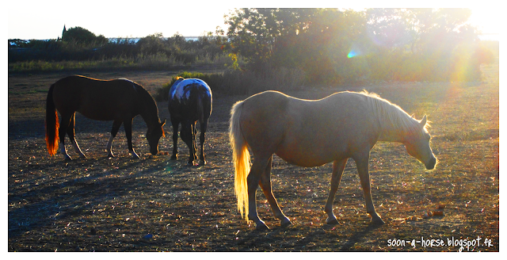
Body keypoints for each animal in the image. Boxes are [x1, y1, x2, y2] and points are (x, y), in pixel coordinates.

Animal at [230, 91, 436, 230]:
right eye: (427, 137)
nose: (433, 162)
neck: (368, 114)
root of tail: (245, 104)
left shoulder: (342, 157)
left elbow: (334, 183)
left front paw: (330, 215)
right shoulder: (361, 154)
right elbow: (366, 184)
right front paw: (374, 215)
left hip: (267, 155)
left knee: (265, 183)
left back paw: (282, 218)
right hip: (263, 154)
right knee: (252, 181)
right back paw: (258, 220)